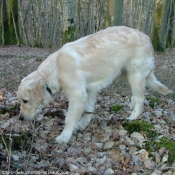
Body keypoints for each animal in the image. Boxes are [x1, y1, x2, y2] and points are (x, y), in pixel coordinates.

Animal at [17, 26, 171, 144]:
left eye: (25, 101)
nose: (20, 118)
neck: (56, 69)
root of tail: (146, 36)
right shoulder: (89, 90)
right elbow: (88, 109)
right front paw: (83, 123)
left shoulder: (77, 95)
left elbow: (69, 118)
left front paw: (64, 136)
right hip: (125, 74)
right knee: (136, 95)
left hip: (135, 75)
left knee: (140, 98)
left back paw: (133, 116)